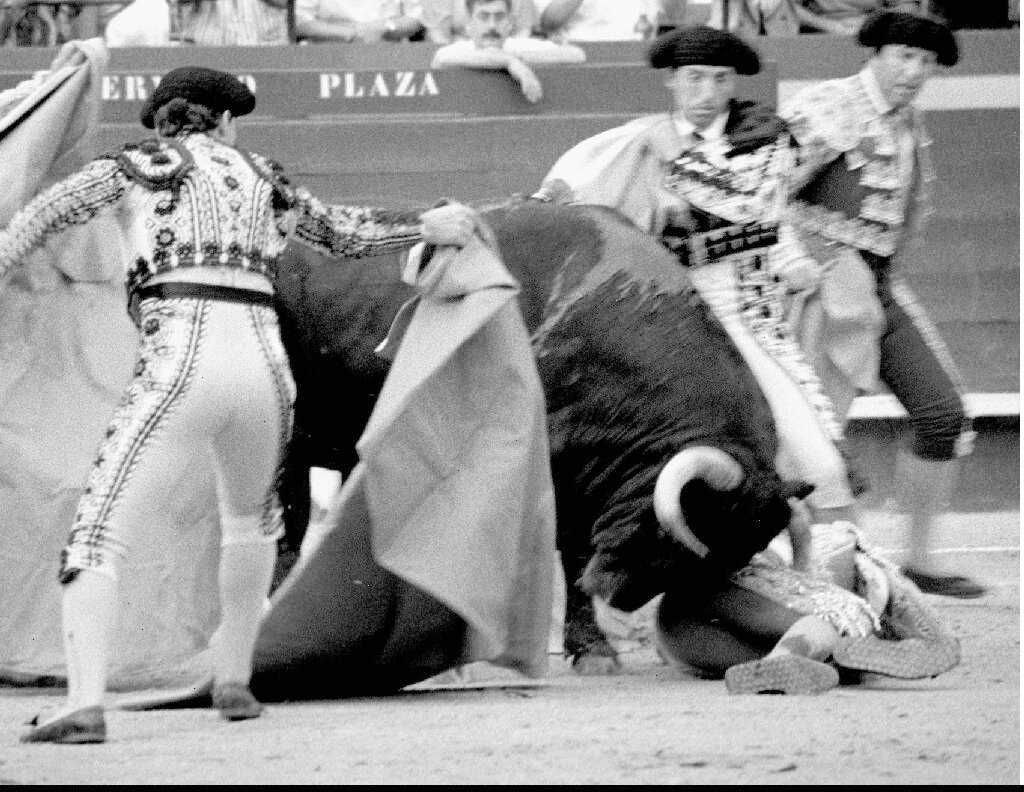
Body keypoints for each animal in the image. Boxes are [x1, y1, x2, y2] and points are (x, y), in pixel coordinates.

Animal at [272, 197, 806, 668]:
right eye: (677, 531)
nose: (616, 595)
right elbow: (564, 552)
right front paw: (587, 648)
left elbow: (574, 555)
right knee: (287, 528)